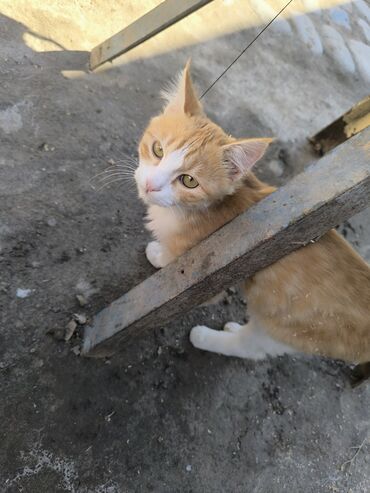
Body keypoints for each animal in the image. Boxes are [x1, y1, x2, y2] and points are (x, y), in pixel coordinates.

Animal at [135, 60, 370, 362]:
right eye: (158, 149)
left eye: (189, 181)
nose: (150, 185)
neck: (188, 211)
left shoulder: (207, 274)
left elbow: (175, 265)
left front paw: (159, 255)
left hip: (286, 323)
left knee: (253, 347)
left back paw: (208, 338)